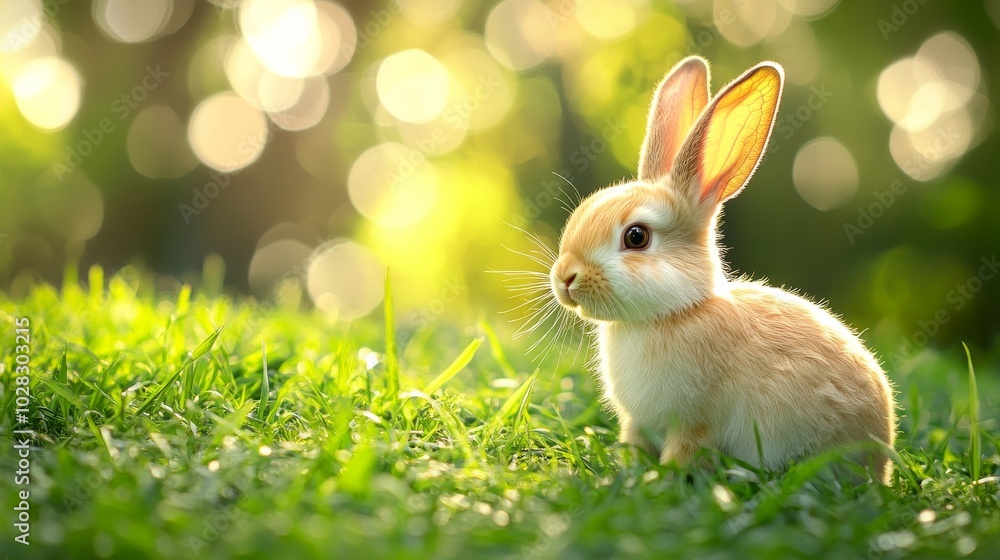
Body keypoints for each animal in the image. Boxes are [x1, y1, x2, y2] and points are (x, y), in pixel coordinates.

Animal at [548, 56, 896, 483]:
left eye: (636, 237)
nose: (565, 278)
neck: (672, 314)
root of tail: (883, 461)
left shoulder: (695, 421)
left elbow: (685, 451)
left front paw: (662, 479)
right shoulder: (637, 422)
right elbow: (635, 444)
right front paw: (629, 471)